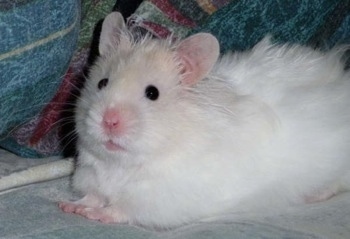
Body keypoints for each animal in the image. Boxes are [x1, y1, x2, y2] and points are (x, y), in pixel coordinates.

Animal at [58, 12, 350, 229]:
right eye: (102, 83)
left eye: (152, 93)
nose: (109, 121)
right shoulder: (91, 174)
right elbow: (93, 194)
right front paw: (71, 206)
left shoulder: (161, 199)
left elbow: (123, 208)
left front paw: (95, 214)